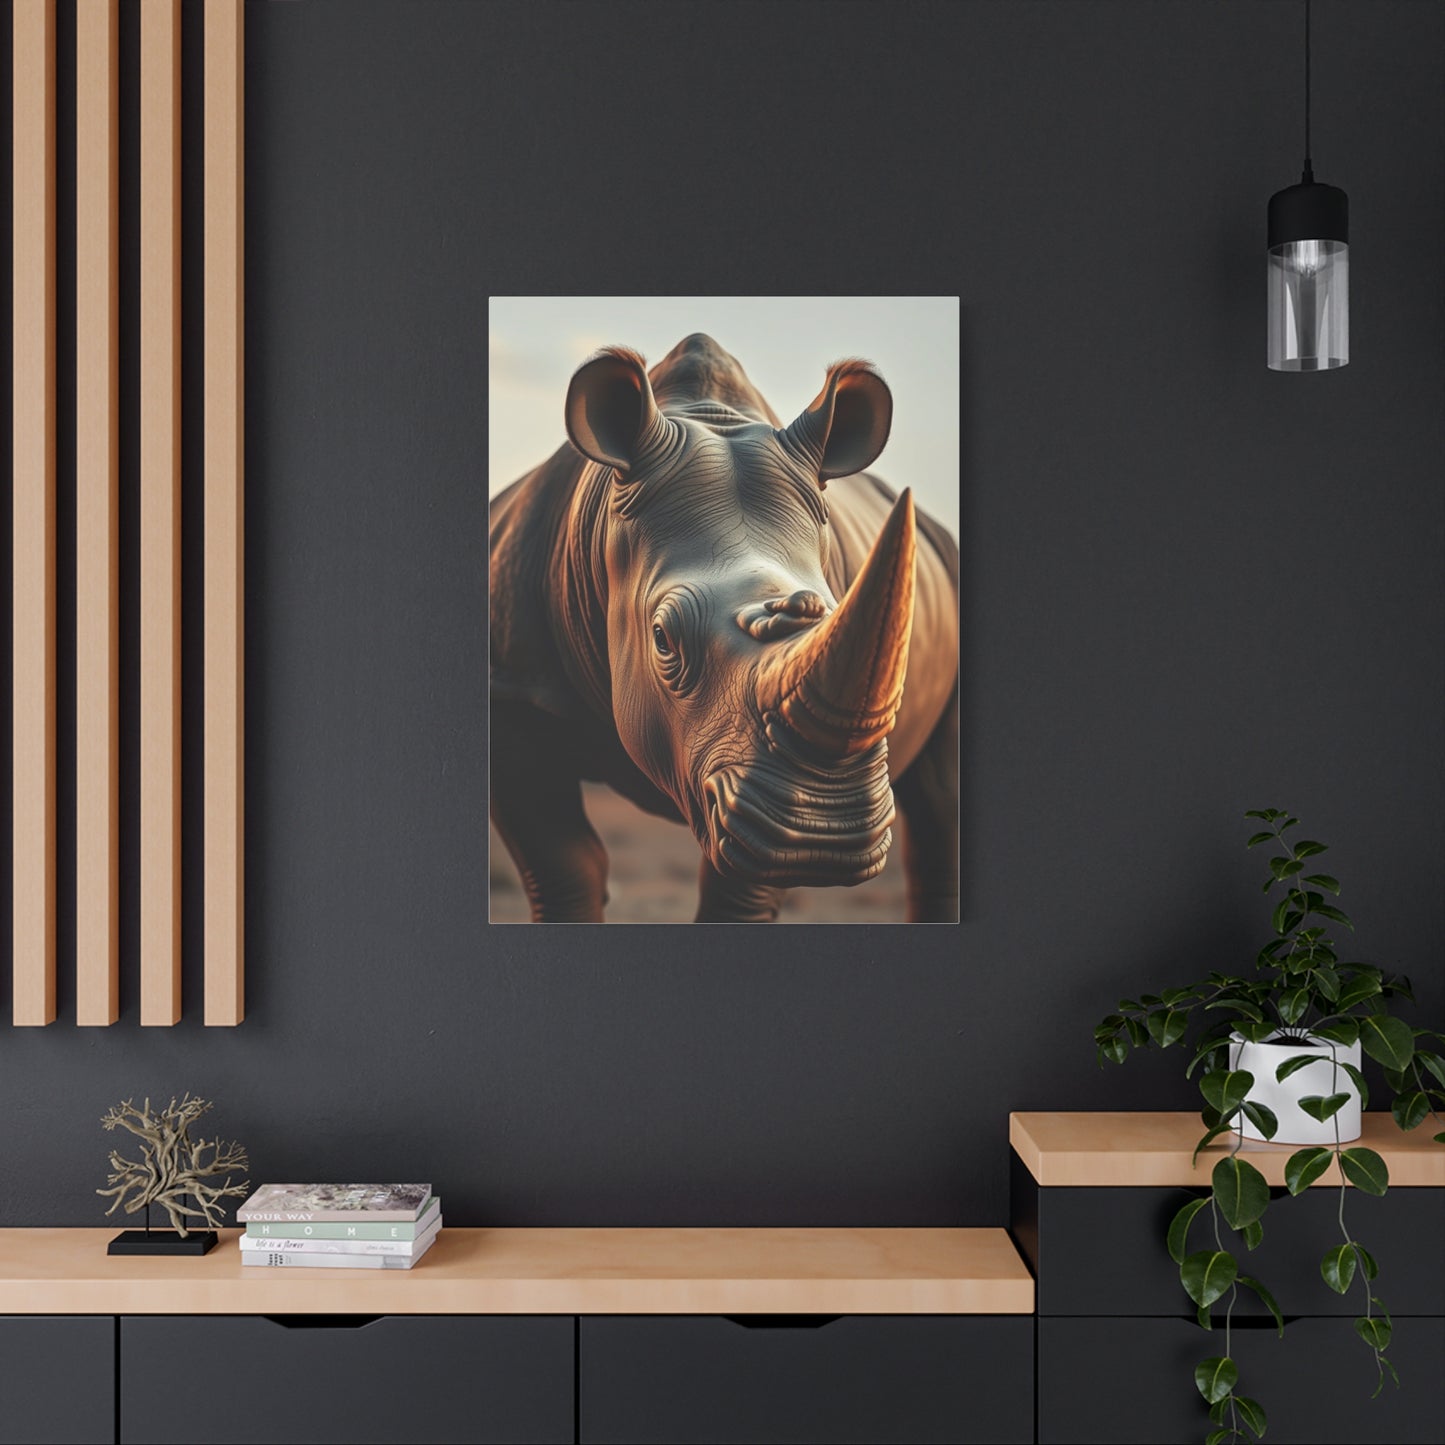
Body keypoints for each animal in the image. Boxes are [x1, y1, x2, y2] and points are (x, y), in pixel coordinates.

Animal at [489, 333, 959, 922]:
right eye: (662, 639)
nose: (824, 834)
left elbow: (738, 890)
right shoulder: (513, 692)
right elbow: (564, 864)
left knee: (938, 805)